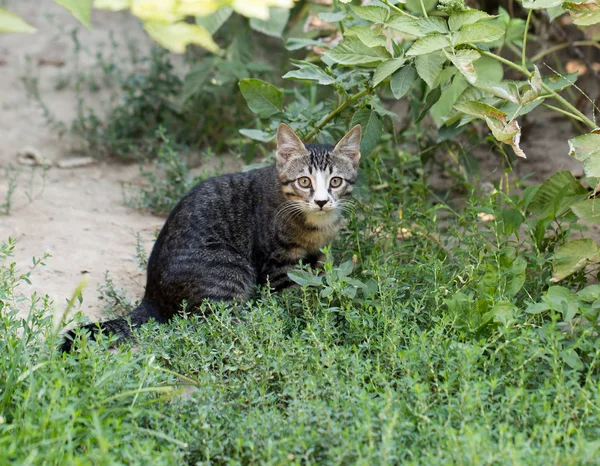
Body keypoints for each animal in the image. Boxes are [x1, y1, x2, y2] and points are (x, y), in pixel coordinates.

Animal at [61, 124, 360, 354]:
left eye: (335, 182)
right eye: (304, 182)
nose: (321, 201)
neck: (314, 226)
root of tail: (152, 298)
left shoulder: (319, 253)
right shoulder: (277, 264)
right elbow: (289, 298)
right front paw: (302, 322)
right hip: (228, 268)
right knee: (219, 323)